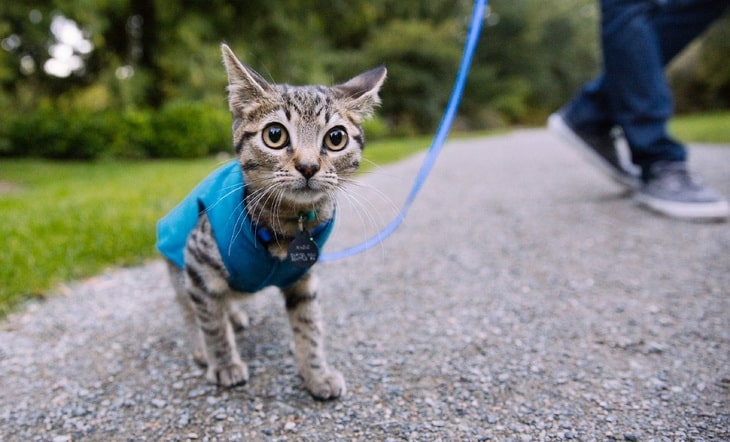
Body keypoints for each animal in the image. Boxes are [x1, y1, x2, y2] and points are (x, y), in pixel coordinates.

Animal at [157, 45, 386, 400]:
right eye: (274, 135)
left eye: (336, 138)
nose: (308, 166)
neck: (288, 226)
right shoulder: (197, 261)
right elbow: (210, 322)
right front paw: (223, 363)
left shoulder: (303, 277)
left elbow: (309, 325)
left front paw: (316, 372)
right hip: (179, 265)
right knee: (189, 305)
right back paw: (202, 345)